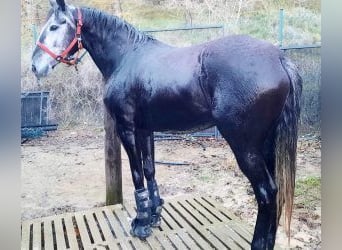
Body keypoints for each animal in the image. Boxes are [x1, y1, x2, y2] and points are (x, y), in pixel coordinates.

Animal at [32, 0, 302, 249]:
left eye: (55, 25)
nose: (35, 66)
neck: (126, 56)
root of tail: (280, 58)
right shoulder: (145, 129)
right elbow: (150, 170)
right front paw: (153, 216)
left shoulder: (126, 128)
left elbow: (136, 173)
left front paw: (141, 223)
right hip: (266, 145)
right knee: (275, 193)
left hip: (244, 146)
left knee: (266, 193)